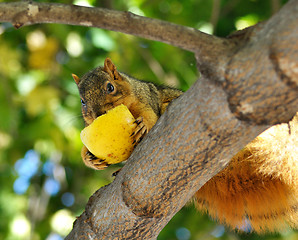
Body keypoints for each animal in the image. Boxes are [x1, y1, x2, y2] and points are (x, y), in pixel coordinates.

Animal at [73, 57, 298, 232]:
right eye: (82, 101)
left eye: (110, 87)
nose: (98, 114)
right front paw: (89, 158)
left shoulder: (146, 98)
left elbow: (150, 116)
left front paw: (143, 124)